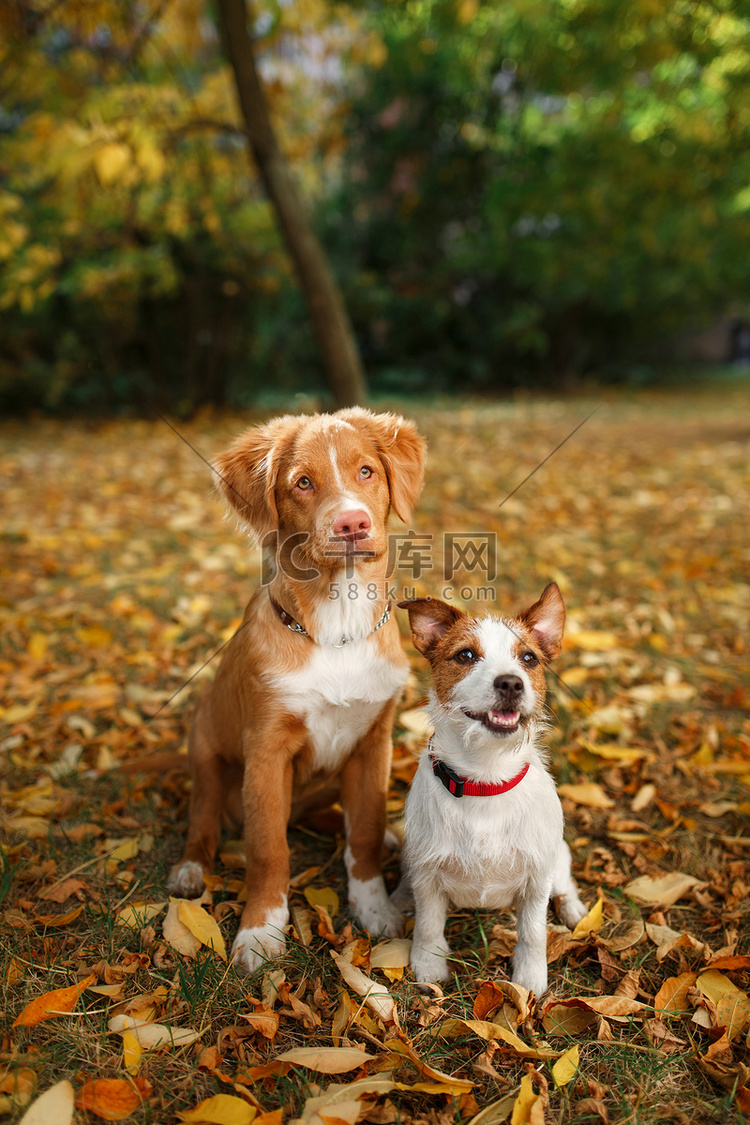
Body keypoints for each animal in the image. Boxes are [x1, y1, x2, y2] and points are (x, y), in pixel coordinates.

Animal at [172, 409, 427, 972]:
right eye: (302, 483)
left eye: (366, 471)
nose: (352, 524)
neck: (337, 626)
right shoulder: (267, 751)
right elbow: (269, 848)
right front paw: (260, 933)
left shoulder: (373, 742)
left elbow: (364, 830)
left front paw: (374, 908)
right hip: (205, 749)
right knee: (203, 819)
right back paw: (190, 869)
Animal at [393, 585, 584, 999]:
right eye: (465, 655)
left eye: (528, 658)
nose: (511, 682)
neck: (486, 779)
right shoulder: (428, 873)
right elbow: (428, 924)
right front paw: (428, 965)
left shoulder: (536, 878)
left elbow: (533, 933)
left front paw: (530, 979)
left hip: (557, 856)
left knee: (565, 883)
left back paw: (575, 908)